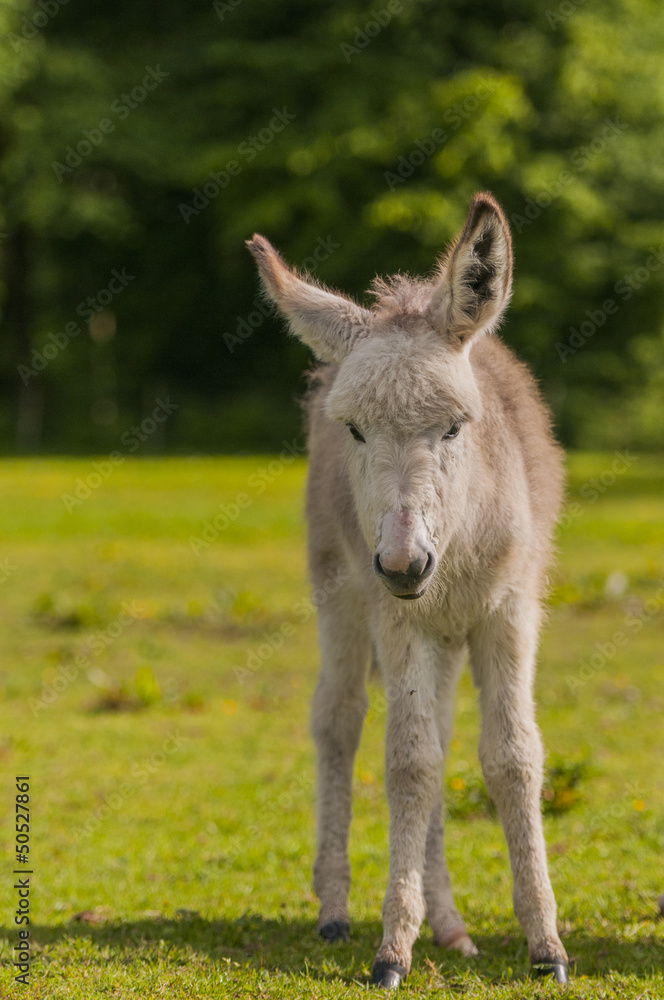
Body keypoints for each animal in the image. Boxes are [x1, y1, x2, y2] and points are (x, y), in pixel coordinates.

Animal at [246, 191, 568, 988]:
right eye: (357, 432)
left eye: (454, 428)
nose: (401, 565)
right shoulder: (398, 622)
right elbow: (409, 762)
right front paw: (392, 947)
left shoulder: (510, 612)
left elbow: (513, 757)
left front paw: (546, 944)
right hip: (340, 596)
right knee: (339, 719)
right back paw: (337, 911)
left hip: (448, 633)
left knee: (447, 738)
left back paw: (451, 925)